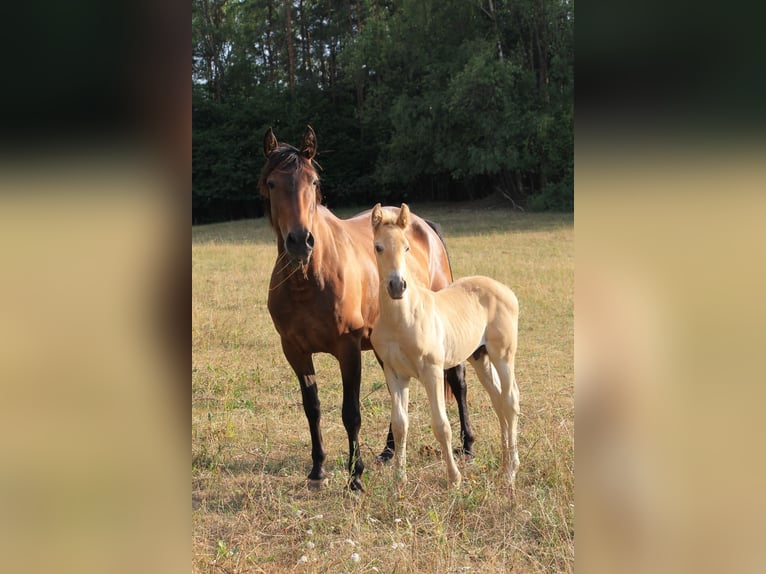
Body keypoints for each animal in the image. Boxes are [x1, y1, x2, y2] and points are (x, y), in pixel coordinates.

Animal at [259, 126, 474, 491]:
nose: (300, 241)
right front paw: (318, 470)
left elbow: (351, 412)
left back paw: (468, 444)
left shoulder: (347, 348)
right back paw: (389, 451)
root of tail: (424, 225)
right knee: (396, 394)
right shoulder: (295, 351)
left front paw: (355, 476)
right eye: (272, 183)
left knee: (457, 380)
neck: (309, 279)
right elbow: (312, 408)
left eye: (313, 182)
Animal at [370, 203, 521, 494]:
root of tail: (507, 291)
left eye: (407, 246)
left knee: (510, 401)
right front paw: (398, 482)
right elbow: (400, 425)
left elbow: (441, 425)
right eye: (378, 247)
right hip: (480, 358)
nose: (397, 286)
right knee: (498, 401)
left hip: (503, 355)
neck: (401, 318)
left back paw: (510, 473)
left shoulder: (432, 371)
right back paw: (504, 466)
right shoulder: (395, 374)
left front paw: (454, 479)